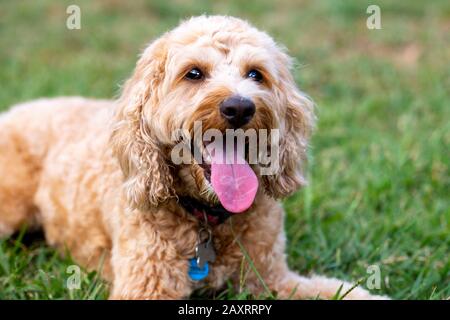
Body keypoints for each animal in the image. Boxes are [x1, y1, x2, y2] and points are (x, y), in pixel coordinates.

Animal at [0, 15, 386, 300]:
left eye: (255, 74)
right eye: (194, 73)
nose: (239, 107)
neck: (206, 218)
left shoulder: (272, 278)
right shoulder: (147, 287)